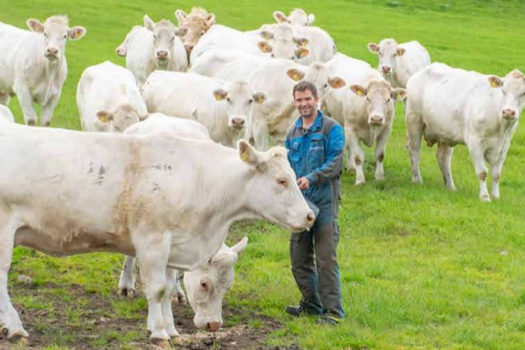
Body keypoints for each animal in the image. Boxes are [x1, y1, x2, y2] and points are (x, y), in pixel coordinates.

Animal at [0, 123, 314, 344]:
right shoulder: (153, 239)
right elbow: (157, 288)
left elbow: (169, 288)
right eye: (281, 180)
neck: (198, 178)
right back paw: (15, 327)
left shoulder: (173, 245)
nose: (310, 216)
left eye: (228, 285)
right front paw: (159, 332)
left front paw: (171, 329)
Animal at [406, 61, 524, 201]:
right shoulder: (475, 141)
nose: (508, 112)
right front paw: (485, 197)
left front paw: (496, 196)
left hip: (445, 132)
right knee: (414, 149)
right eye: (503, 91)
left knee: (443, 157)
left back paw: (450, 186)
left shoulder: (504, 145)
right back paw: (417, 179)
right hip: (414, 120)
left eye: (523, 93)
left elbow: (497, 174)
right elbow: (483, 172)